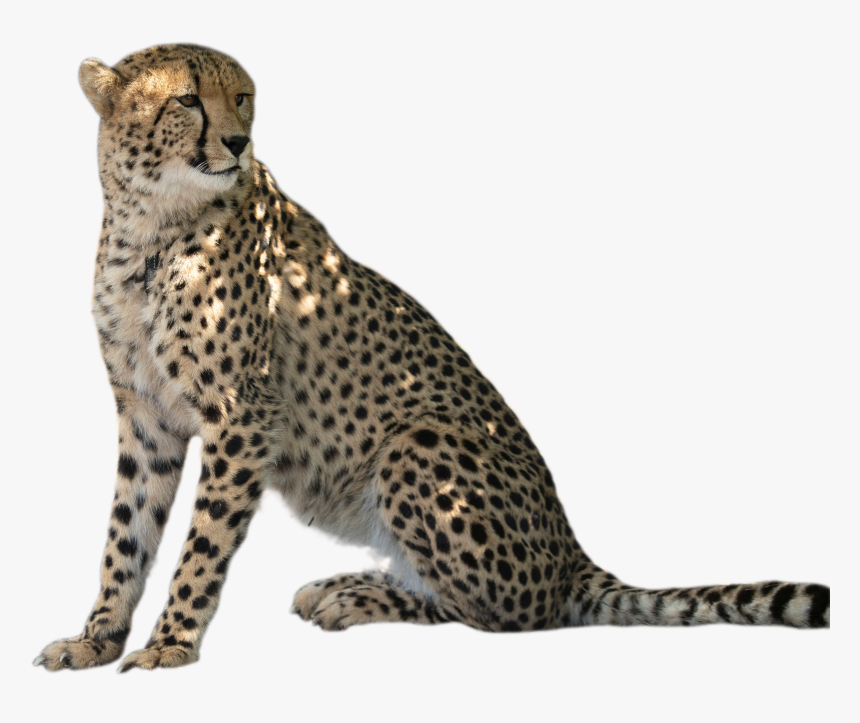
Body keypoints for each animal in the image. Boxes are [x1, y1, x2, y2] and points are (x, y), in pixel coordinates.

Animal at [34, 44, 830, 672]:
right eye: (188, 99)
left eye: (245, 98)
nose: (235, 142)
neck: (152, 224)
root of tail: (570, 550)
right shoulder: (148, 416)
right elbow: (125, 532)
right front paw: (96, 637)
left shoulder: (243, 415)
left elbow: (202, 543)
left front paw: (171, 641)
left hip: (417, 441)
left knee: (501, 614)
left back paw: (352, 595)